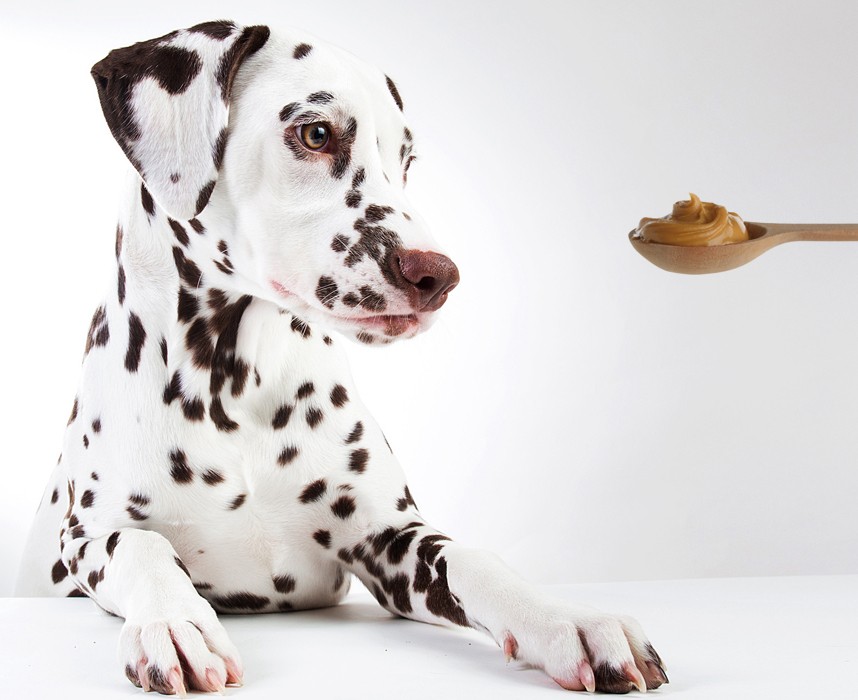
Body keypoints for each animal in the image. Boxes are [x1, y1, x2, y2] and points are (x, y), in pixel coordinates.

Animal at [15, 20, 668, 696]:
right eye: (316, 133)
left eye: (405, 159)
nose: (439, 276)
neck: (232, 383)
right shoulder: (88, 538)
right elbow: (143, 550)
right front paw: (174, 623)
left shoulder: (389, 541)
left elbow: (472, 558)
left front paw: (568, 619)